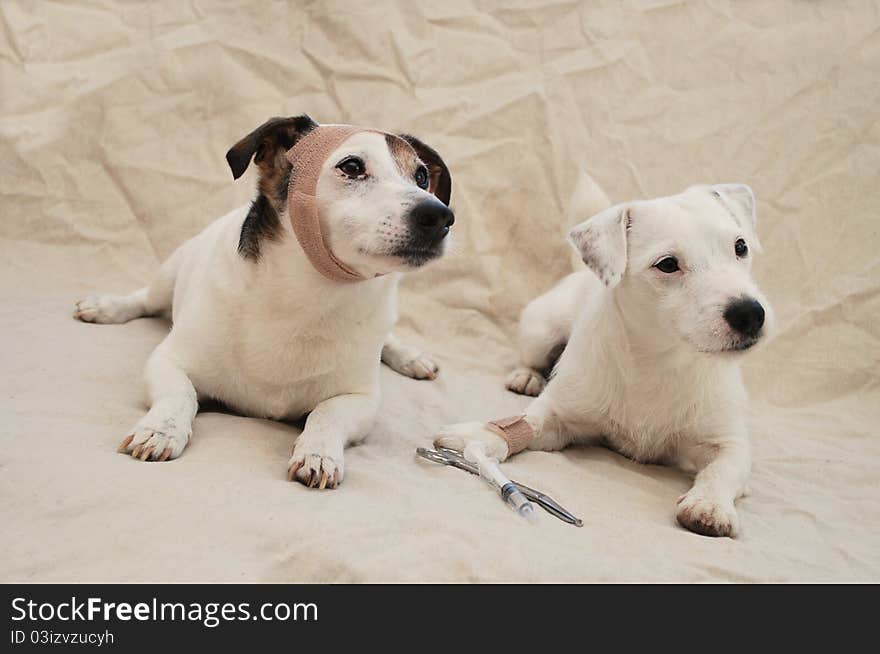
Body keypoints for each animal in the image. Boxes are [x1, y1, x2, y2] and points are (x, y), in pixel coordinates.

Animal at [75, 115, 454, 490]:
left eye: (421, 177)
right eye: (351, 166)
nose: (439, 215)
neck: (310, 296)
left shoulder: (360, 400)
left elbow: (327, 414)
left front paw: (318, 453)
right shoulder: (168, 362)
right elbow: (182, 394)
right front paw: (160, 430)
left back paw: (410, 357)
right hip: (168, 277)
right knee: (144, 300)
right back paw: (105, 307)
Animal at [436, 183, 772, 540]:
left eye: (740, 246)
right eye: (667, 264)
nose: (750, 313)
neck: (660, 360)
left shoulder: (729, 442)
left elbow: (723, 468)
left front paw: (709, 504)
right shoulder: (560, 413)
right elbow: (524, 423)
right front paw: (480, 438)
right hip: (540, 333)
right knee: (532, 358)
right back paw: (527, 376)